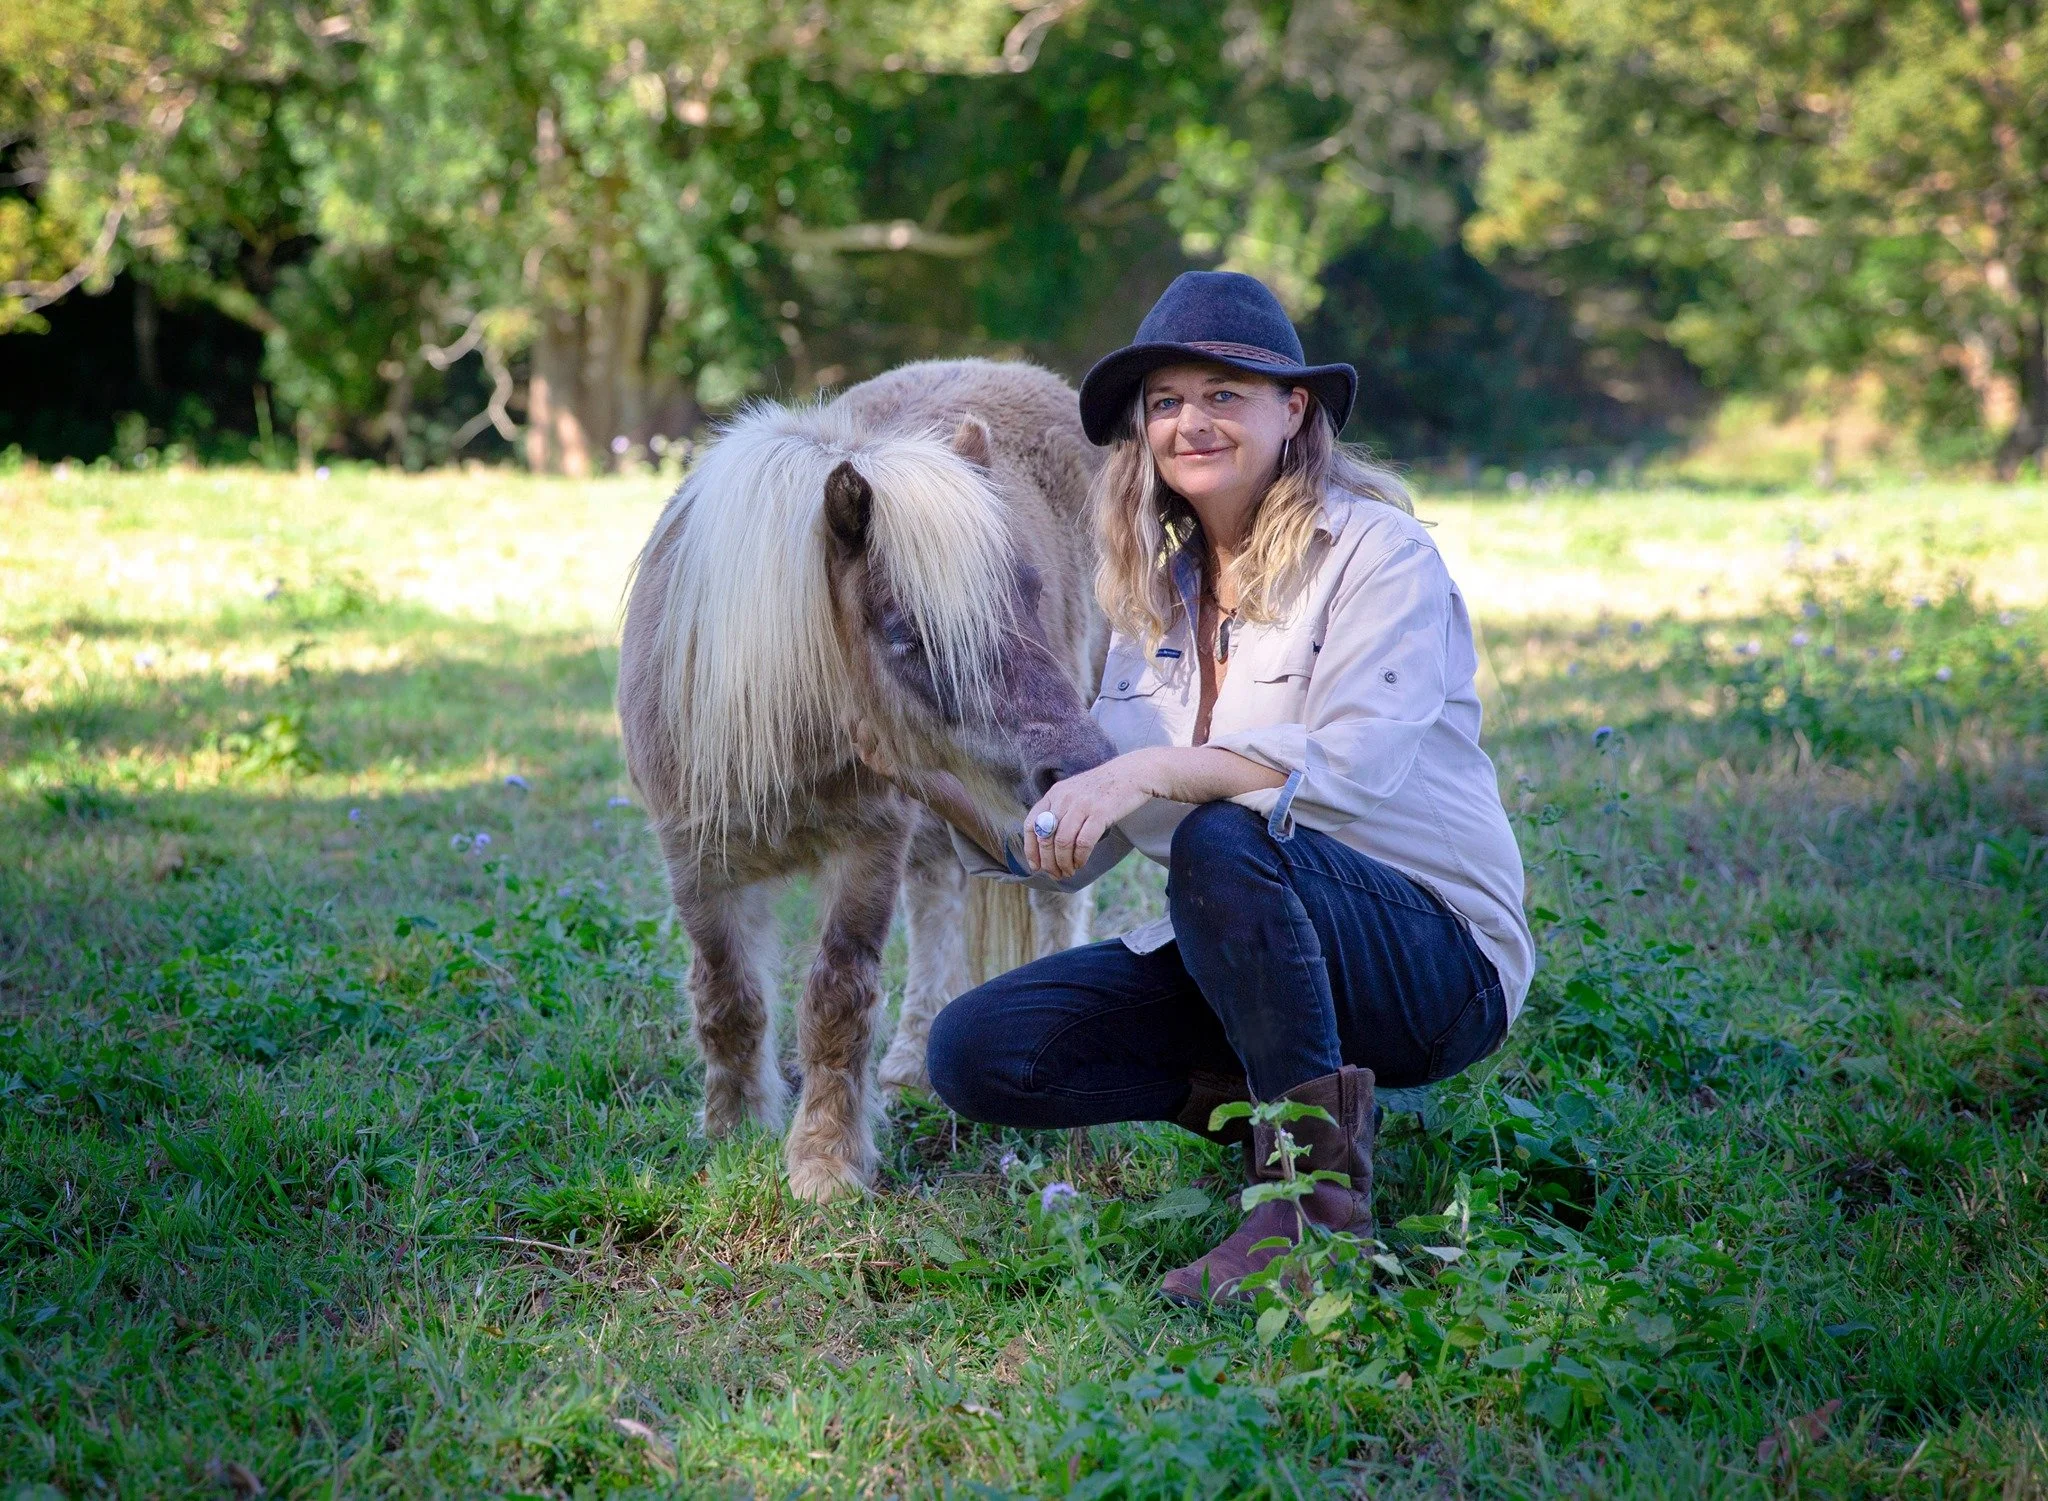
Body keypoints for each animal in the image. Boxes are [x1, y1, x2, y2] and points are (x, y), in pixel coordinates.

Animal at [617, 358, 1114, 1200]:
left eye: (1030, 591)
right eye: (903, 633)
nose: (1081, 765)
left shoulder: (868, 849)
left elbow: (837, 996)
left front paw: (825, 1163)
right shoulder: (696, 858)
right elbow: (728, 994)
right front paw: (732, 1132)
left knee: (1051, 904)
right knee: (939, 897)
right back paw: (911, 1063)